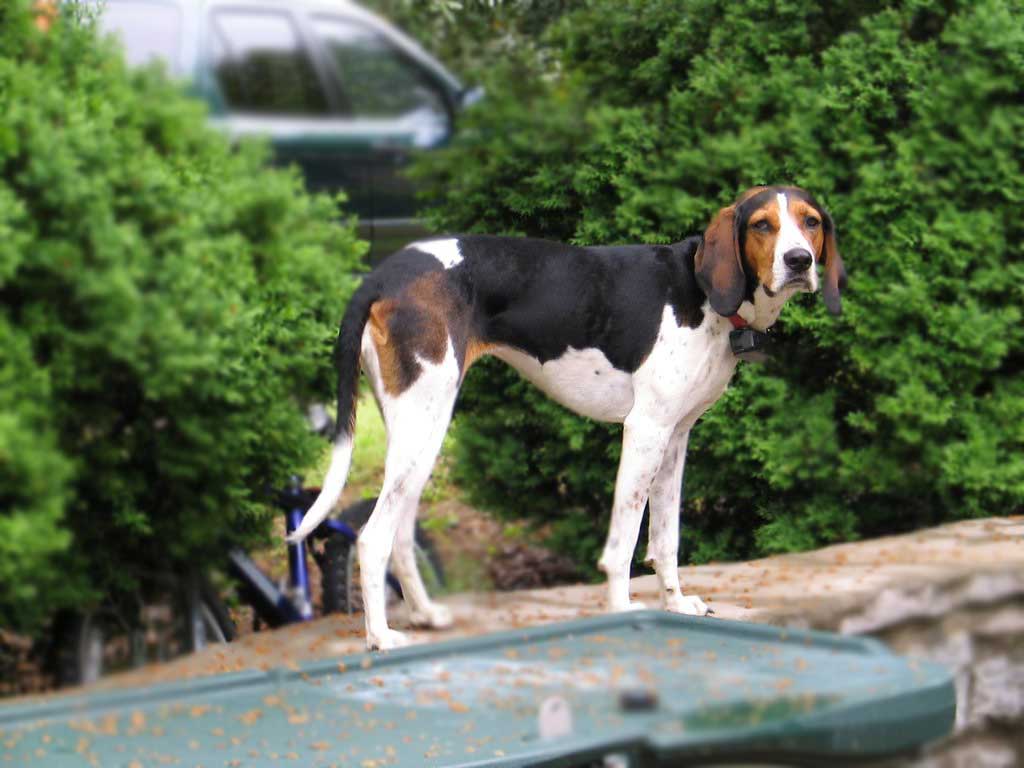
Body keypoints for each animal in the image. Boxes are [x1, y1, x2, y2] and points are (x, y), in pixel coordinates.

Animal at [290, 185, 847, 651]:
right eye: (762, 225)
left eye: (810, 221)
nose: (799, 261)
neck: (701, 292)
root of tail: (384, 272)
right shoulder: (644, 431)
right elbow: (624, 542)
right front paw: (623, 610)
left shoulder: (675, 438)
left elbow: (666, 538)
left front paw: (675, 604)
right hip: (423, 427)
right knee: (373, 537)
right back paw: (381, 637)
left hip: (420, 433)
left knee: (401, 536)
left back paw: (427, 615)